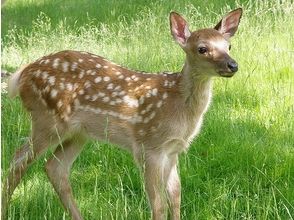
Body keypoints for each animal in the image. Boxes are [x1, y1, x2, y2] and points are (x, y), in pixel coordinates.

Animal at [1, 8, 241, 220]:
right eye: (202, 49)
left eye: (228, 45)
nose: (233, 65)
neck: (179, 106)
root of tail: (22, 74)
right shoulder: (148, 146)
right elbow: (158, 204)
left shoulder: (173, 150)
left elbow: (175, 197)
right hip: (47, 120)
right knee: (17, 161)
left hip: (78, 133)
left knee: (55, 168)